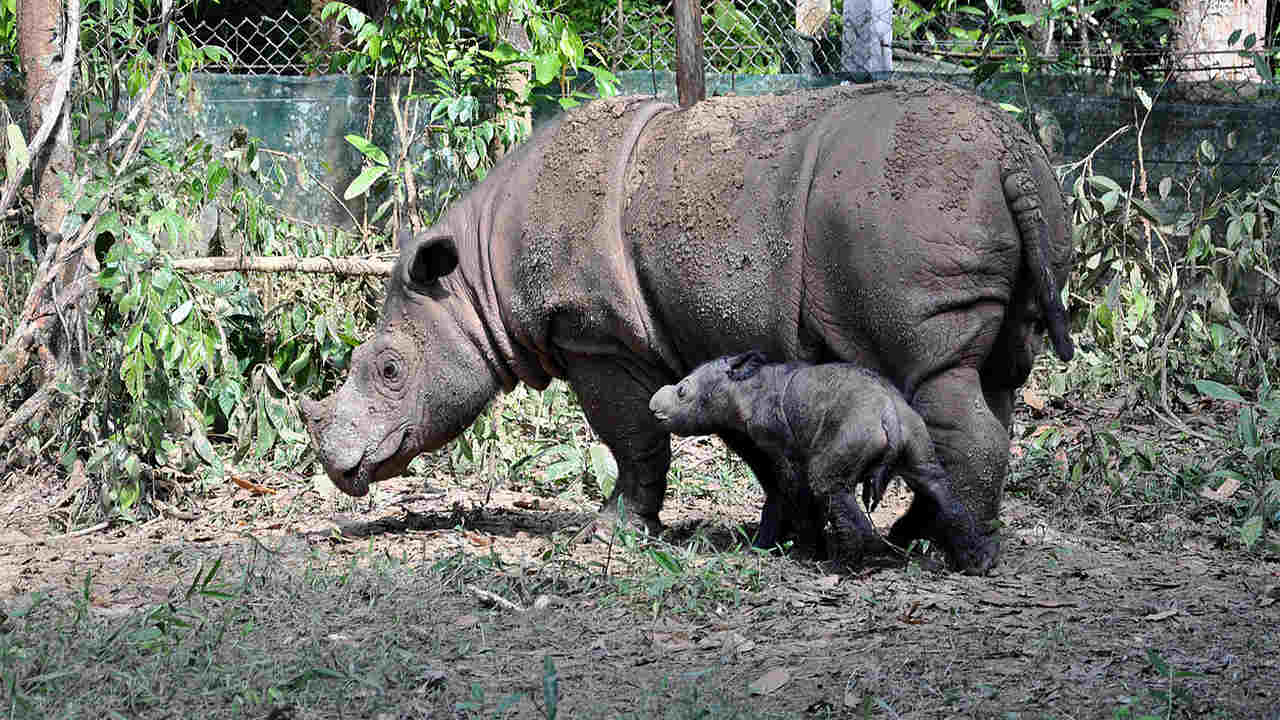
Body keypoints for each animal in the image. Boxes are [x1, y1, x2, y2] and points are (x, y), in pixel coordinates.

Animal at [649, 351, 995, 573]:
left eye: (682, 391)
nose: (653, 407)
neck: (743, 387)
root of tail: (889, 415)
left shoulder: (781, 448)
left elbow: (786, 494)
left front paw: (798, 551)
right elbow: (784, 497)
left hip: (851, 433)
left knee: (830, 487)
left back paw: (839, 566)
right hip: (915, 435)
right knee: (938, 488)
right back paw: (976, 563)